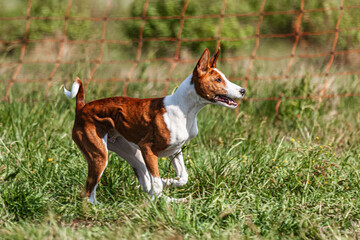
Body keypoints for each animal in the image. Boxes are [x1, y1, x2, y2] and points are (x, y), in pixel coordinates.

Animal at [64, 48, 245, 204]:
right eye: (218, 79)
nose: (242, 90)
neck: (184, 110)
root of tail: (81, 108)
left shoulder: (174, 150)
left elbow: (182, 178)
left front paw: (167, 182)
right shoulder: (148, 149)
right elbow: (157, 184)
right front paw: (157, 196)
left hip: (132, 154)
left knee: (145, 184)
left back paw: (172, 200)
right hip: (100, 156)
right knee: (88, 192)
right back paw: (98, 207)